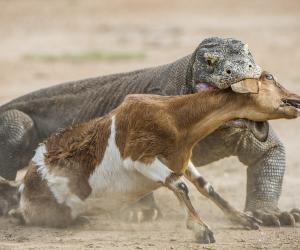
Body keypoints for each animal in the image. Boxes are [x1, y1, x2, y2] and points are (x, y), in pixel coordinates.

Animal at [10, 71, 298, 243]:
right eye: (269, 77)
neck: (174, 117)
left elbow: (206, 187)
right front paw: (201, 229)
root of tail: (26, 186)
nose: (295, 98)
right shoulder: (140, 159)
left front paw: (243, 219)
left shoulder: (182, 160)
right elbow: (179, 185)